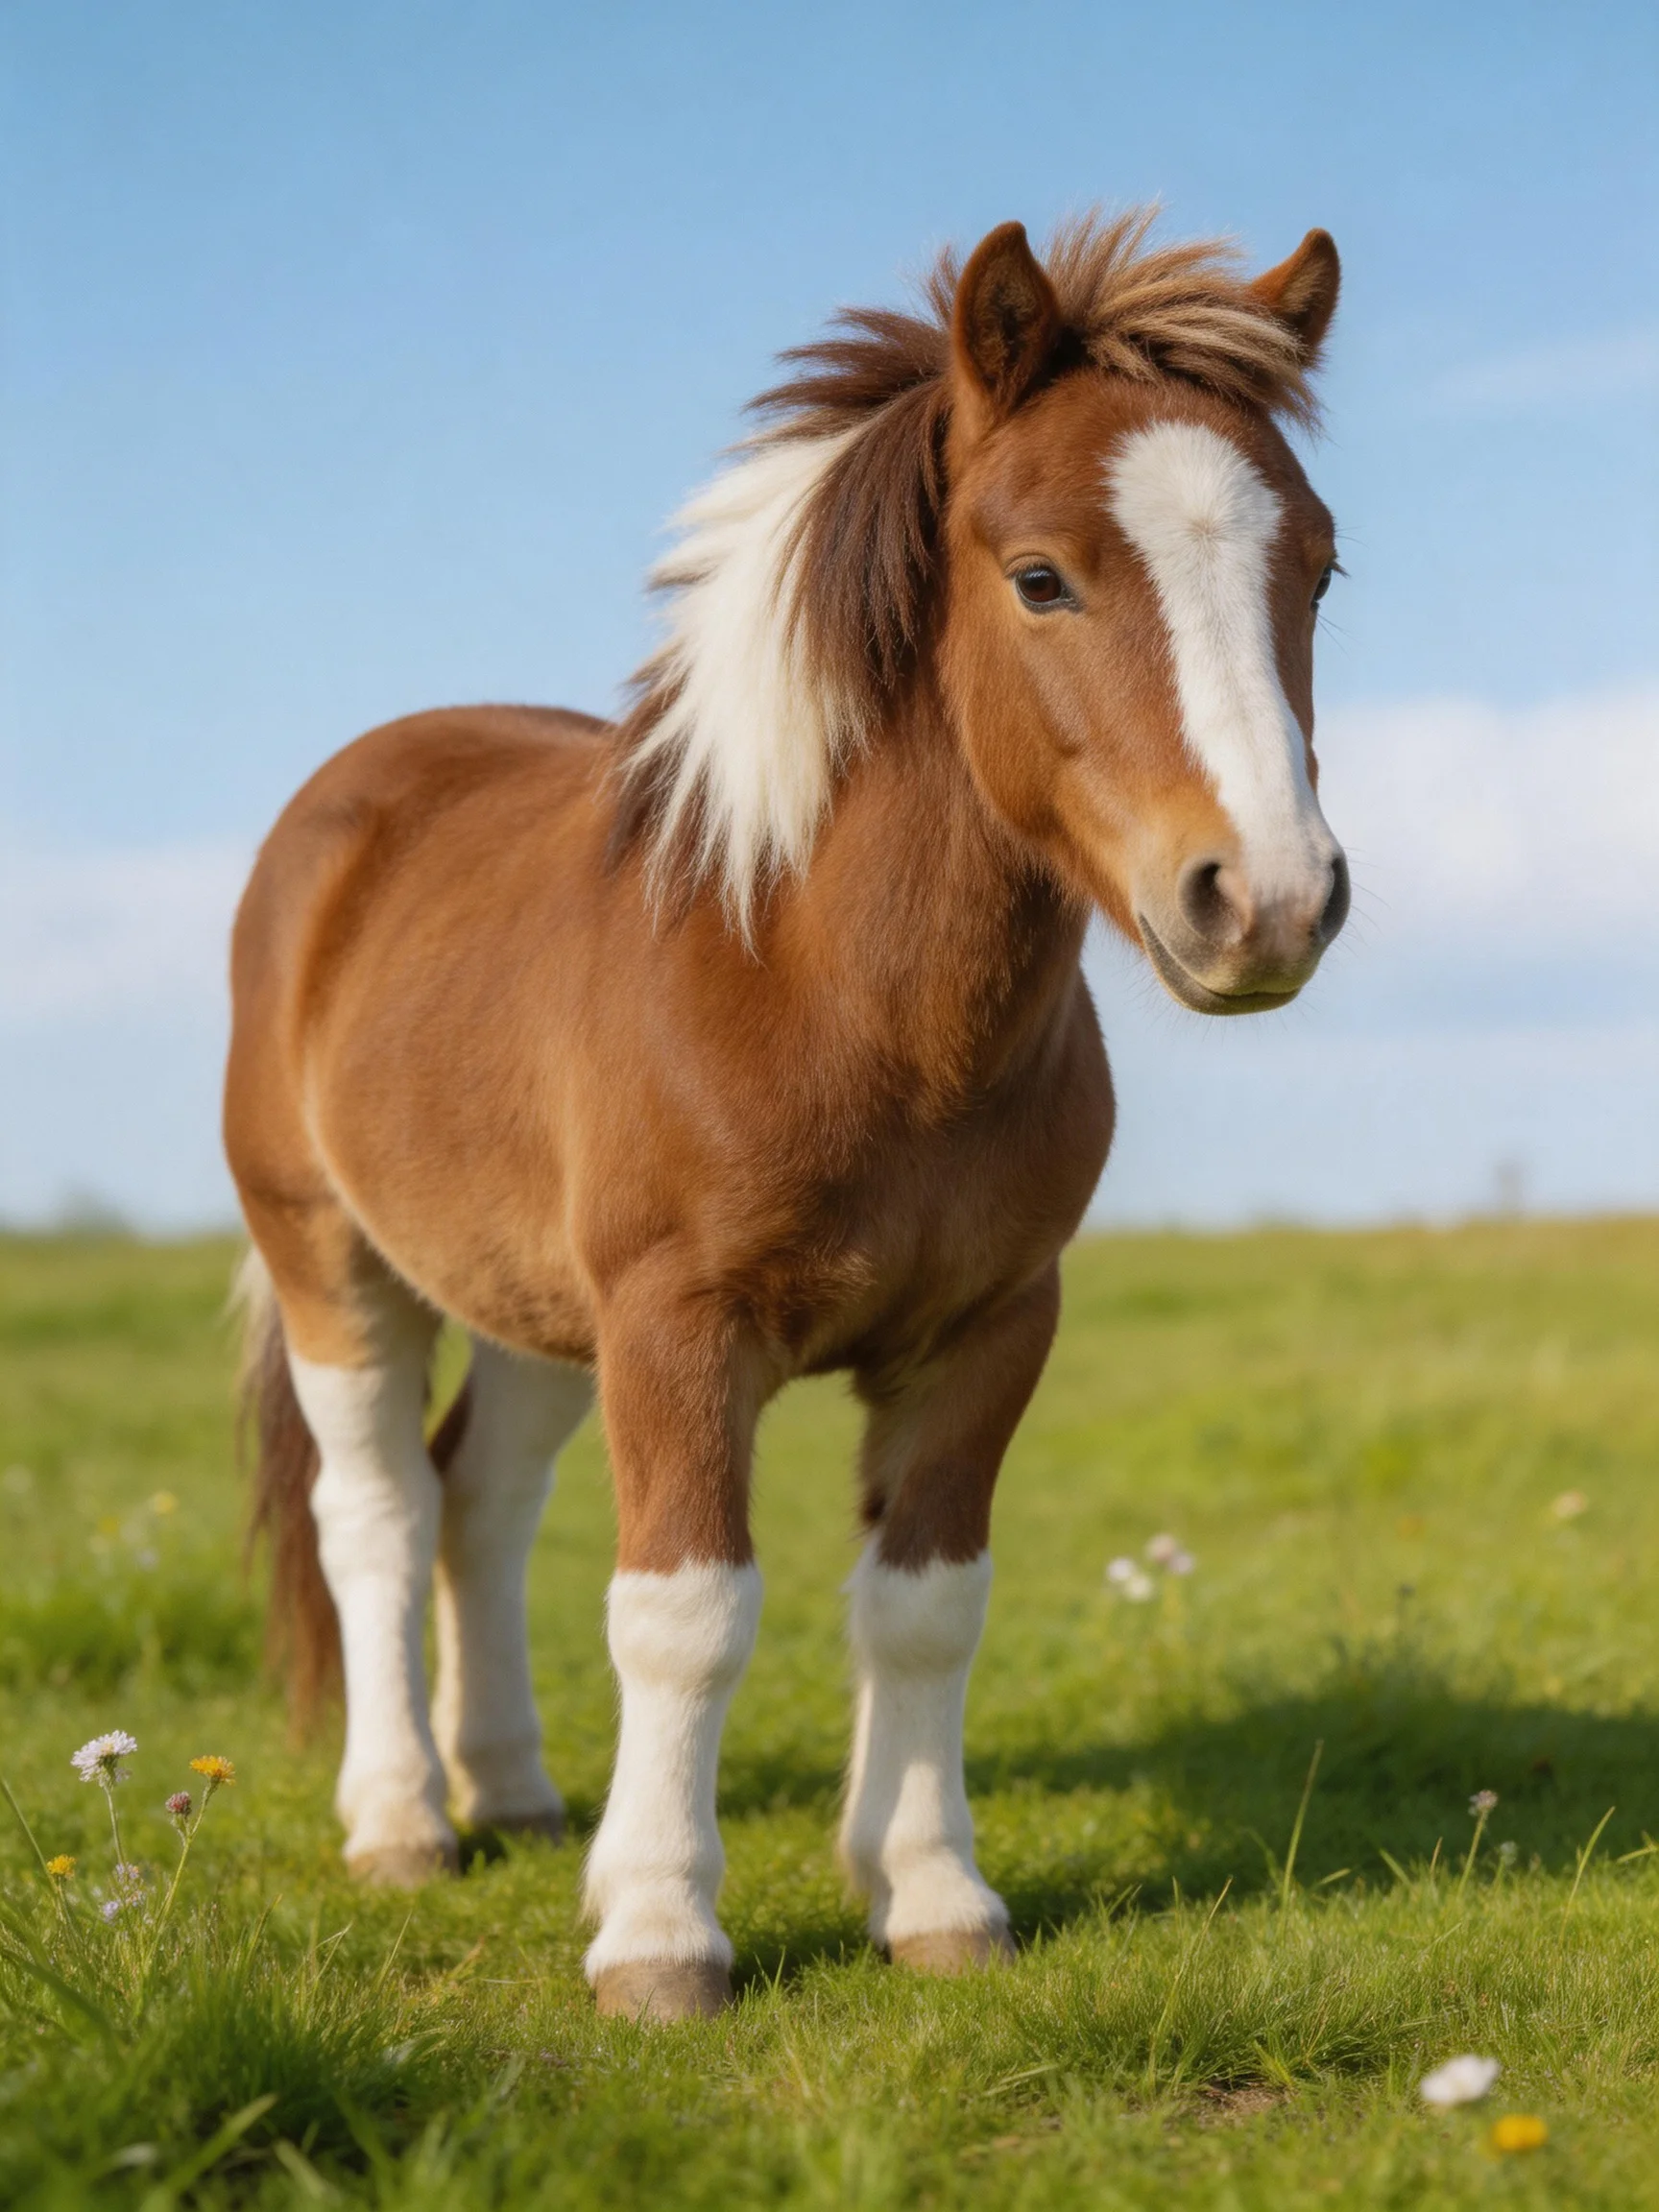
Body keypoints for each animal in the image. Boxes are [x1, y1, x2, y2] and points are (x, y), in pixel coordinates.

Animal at [226, 209, 1349, 2022]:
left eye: (1314, 568)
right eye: (1041, 576)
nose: (1265, 901)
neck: (826, 992)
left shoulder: (986, 1329)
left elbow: (923, 1605)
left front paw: (929, 1892)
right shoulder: (680, 1326)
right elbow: (685, 1615)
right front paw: (662, 1935)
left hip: (543, 1315)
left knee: (482, 1499)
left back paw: (520, 1794)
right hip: (336, 1260)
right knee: (379, 1511)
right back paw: (404, 1820)